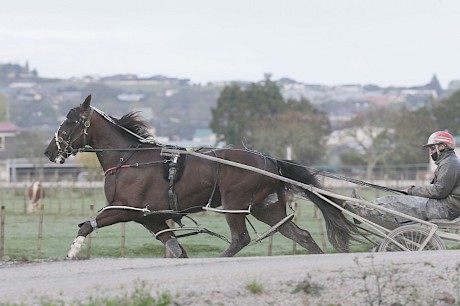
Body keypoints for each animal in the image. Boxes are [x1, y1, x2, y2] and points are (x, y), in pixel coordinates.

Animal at [45, 95, 362, 258]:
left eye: (69, 121)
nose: (50, 151)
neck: (129, 159)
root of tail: (270, 160)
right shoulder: (150, 217)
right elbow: (175, 247)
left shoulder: (124, 209)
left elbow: (87, 225)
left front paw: (72, 252)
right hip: (266, 207)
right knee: (300, 235)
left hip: (235, 203)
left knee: (240, 239)